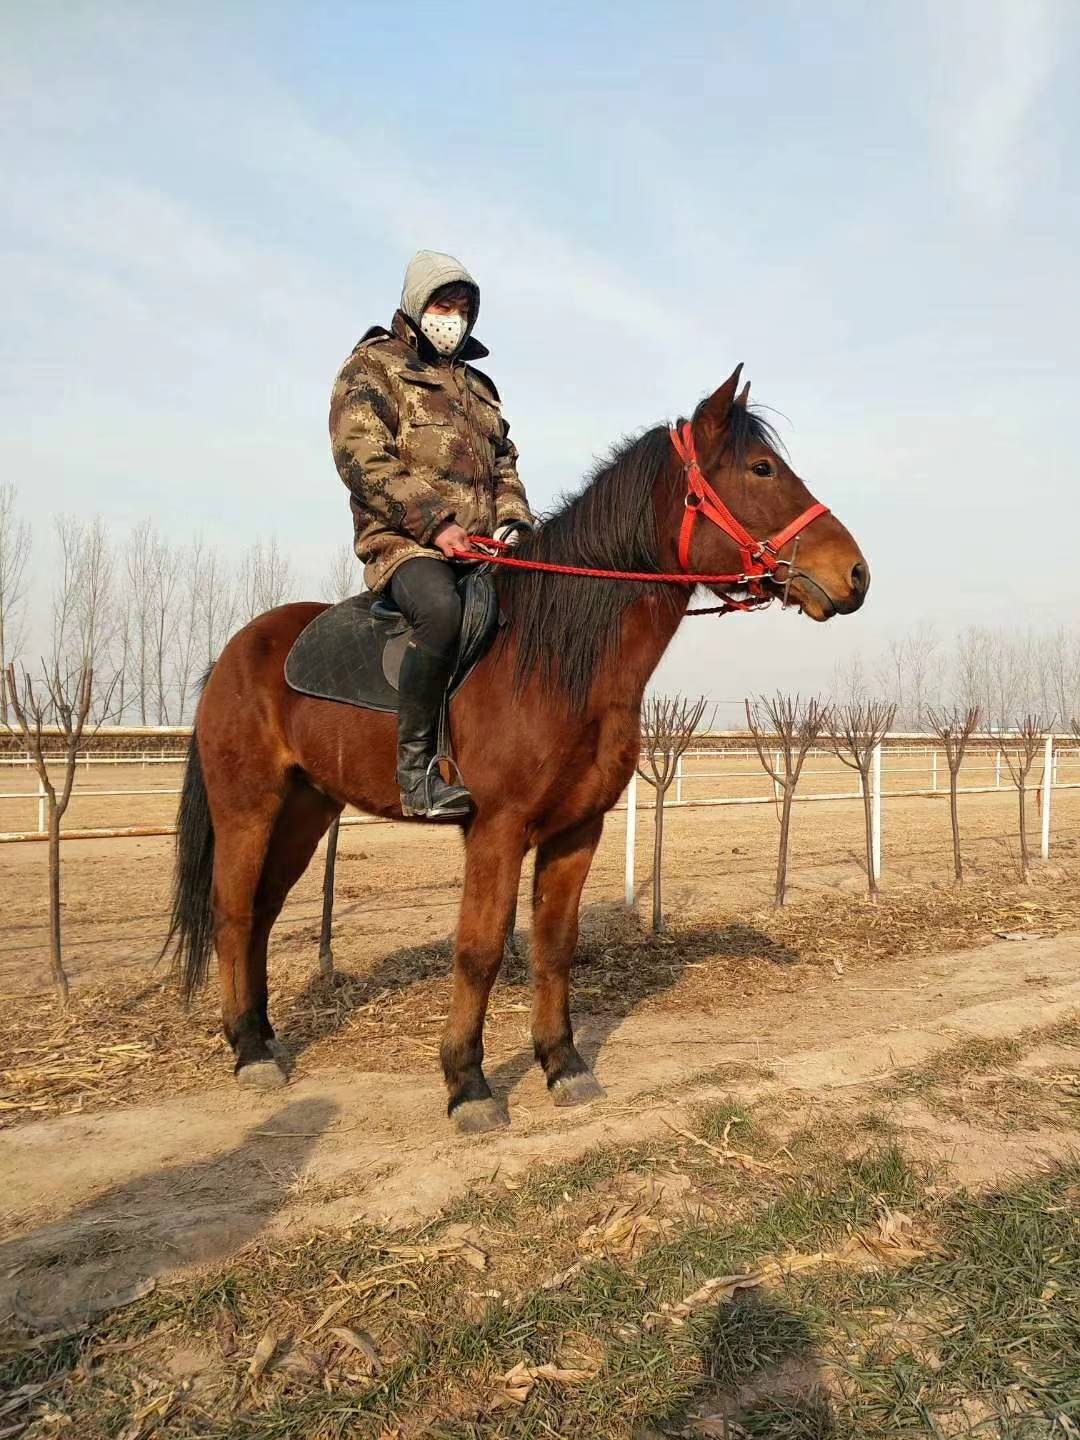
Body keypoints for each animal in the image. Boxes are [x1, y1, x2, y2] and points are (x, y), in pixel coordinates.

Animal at [162, 365, 869, 1128]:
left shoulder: (577, 831)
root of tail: (234, 651)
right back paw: (248, 1052)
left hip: (305, 811)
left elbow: (555, 946)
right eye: (762, 468)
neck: (556, 659)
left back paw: (264, 1036)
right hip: (248, 810)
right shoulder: (496, 831)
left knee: (261, 916)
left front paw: (563, 1064)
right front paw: (467, 1083)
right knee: (234, 915)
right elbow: (480, 950)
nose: (856, 575)